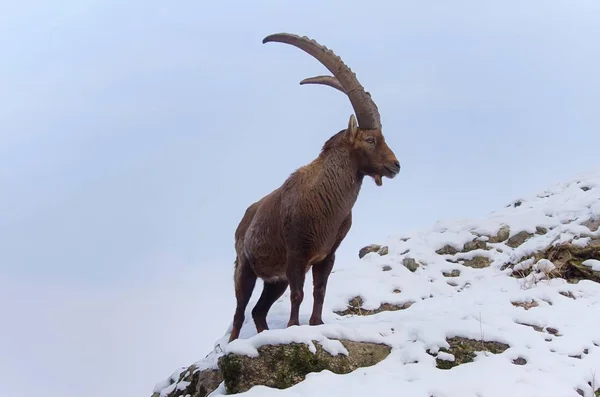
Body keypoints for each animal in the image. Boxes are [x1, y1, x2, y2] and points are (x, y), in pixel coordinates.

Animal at [227, 31, 400, 340]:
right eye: (370, 140)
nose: (395, 165)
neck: (326, 201)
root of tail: (245, 217)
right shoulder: (296, 254)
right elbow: (299, 294)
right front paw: (294, 328)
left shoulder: (326, 256)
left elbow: (320, 291)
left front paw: (316, 324)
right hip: (245, 268)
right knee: (239, 312)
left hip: (275, 280)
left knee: (259, 311)